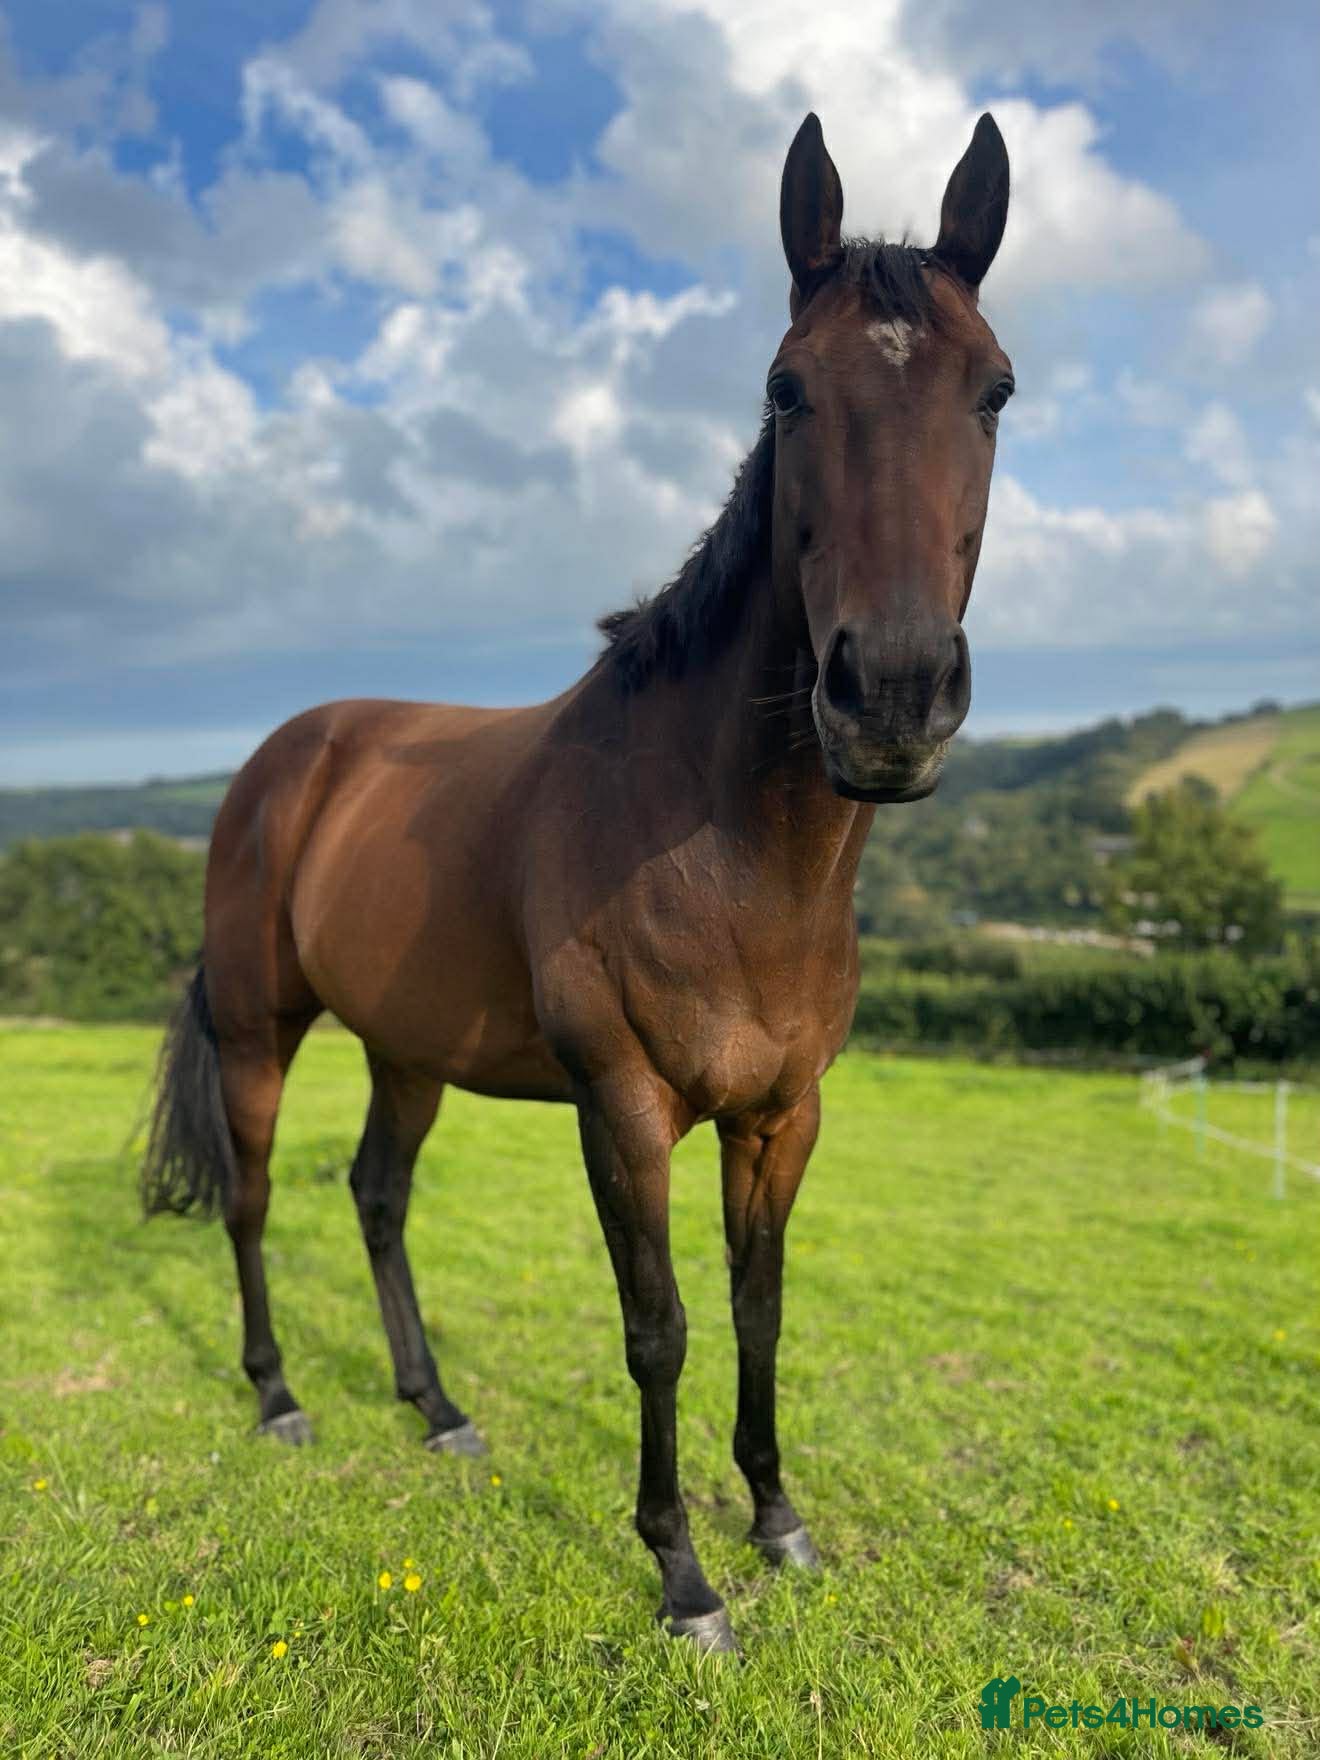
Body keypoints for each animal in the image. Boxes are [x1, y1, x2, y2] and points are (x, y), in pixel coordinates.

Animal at [143, 109, 1013, 1654]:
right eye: (788, 391)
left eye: (997, 394)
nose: (895, 695)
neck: (732, 854)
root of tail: (288, 757)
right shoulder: (625, 1107)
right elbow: (659, 1324)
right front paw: (683, 1574)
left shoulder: (782, 1116)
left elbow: (759, 1307)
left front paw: (778, 1518)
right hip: (257, 1029)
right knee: (251, 1199)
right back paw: (280, 1395)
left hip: (406, 1050)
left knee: (376, 1195)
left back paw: (436, 1408)